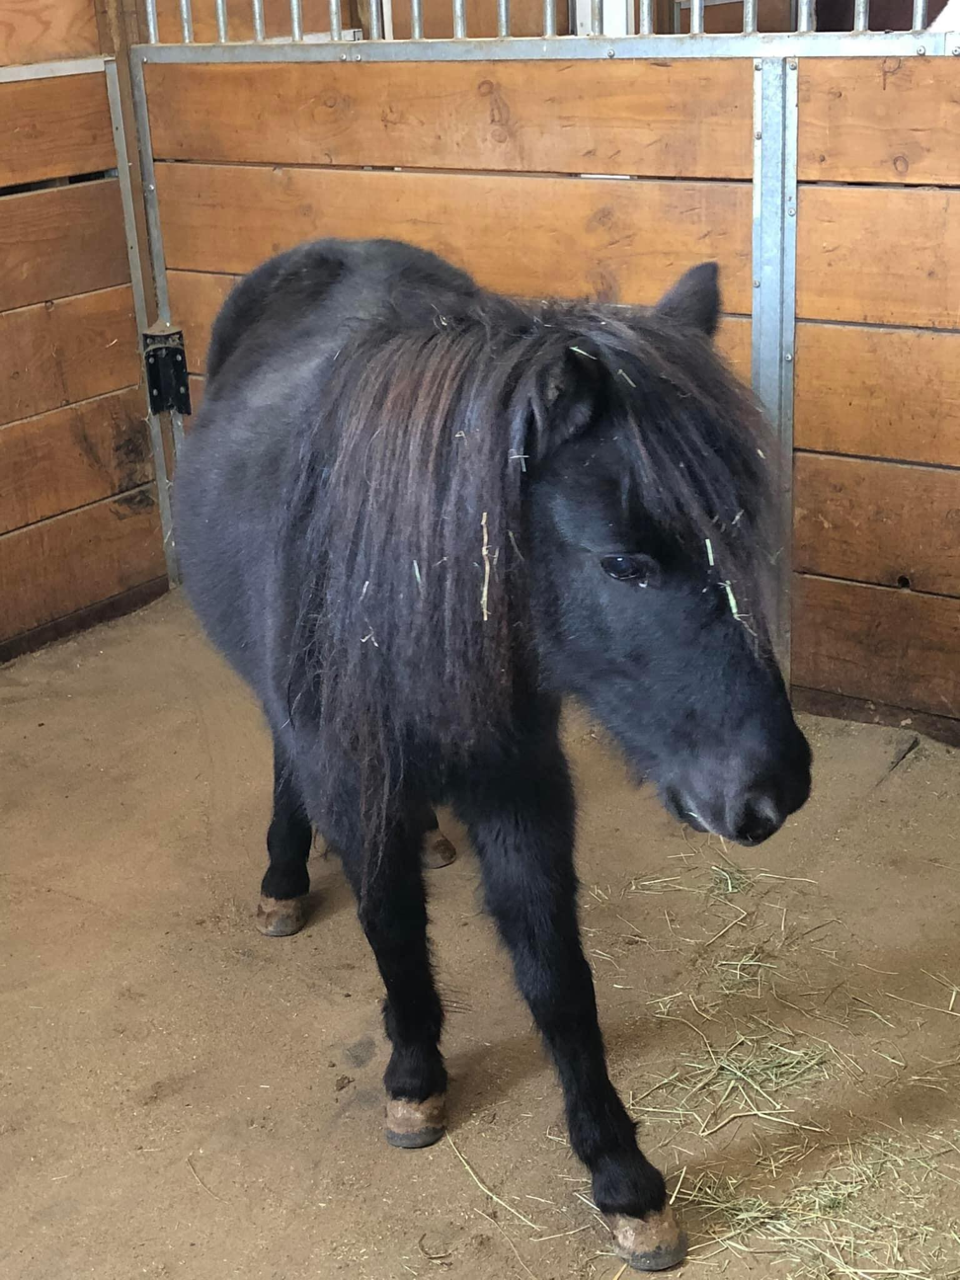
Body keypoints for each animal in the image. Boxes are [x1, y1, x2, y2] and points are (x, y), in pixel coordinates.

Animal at [175, 238, 812, 1272]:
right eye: (624, 563)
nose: (774, 788)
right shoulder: (351, 774)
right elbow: (393, 926)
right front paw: (414, 1076)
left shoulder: (520, 782)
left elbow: (556, 976)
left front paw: (620, 1175)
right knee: (285, 766)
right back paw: (283, 877)